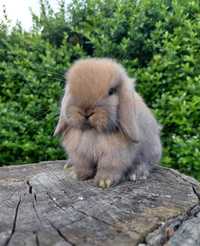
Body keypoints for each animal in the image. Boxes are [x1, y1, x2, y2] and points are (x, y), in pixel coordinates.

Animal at [54, 57, 162, 188]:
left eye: (111, 91)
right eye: (71, 90)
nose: (86, 111)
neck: (92, 131)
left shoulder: (114, 155)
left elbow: (109, 167)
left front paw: (104, 182)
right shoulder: (79, 153)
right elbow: (83, 165)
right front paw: (77, 175)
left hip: (151, 151)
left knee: (146, 163)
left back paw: (136, 174)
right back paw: (69, 165)